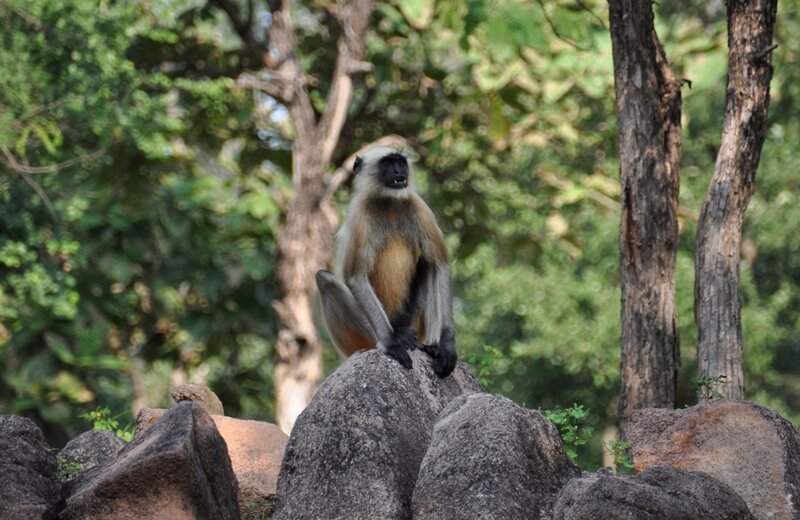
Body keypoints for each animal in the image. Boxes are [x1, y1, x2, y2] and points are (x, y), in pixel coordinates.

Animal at [318, 146, 460, 378]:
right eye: (387, 163)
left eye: (400, 162)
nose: (398, 171)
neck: (390, 202)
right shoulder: (361, 212)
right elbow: (356, 277)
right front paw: (392, 344)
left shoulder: (418, 206)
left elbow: (440, 264)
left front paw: (447, 346)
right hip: (364, 338)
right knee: (324, 279)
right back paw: (397, 337)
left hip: (417, 324)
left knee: (427, 264)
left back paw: (431, 346)